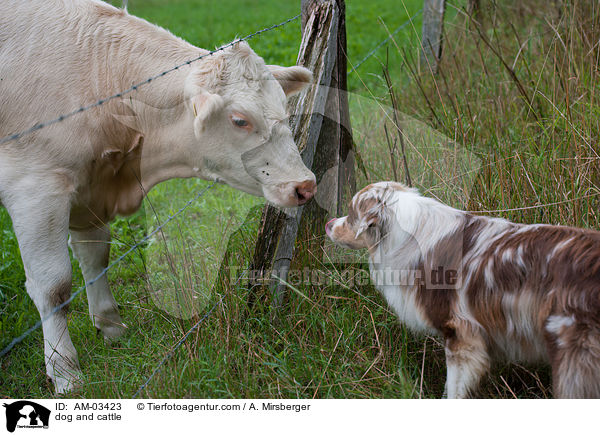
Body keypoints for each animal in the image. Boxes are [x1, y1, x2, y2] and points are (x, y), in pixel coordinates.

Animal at [0, 0, 316, 396]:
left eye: (284, 112)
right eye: (240, 120)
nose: (305, 185)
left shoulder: (90, 194)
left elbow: (95, 258)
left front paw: (111, 325)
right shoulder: (35, 188)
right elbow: (53, 287)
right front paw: (65, 371)